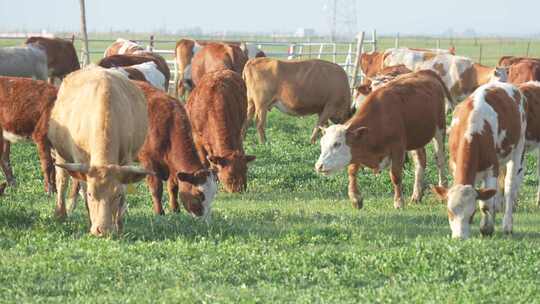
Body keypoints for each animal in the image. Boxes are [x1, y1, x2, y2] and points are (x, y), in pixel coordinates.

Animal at [48, 66, 151, 236]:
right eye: (91, 194)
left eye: (117, 195)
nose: (102, 230)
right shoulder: (80, 160)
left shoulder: (126, 161)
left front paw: (119, 227)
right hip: (61, 153)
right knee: (62, 180)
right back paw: (60, 213)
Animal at [314, 70, 450, 210]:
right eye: (322, 144)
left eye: (337, 144)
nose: (319, 166)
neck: (381, 117)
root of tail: (425, 72)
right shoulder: (358, 146)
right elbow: (352, 171)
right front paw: (355, 198)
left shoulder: (397, 149)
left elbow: (395, 176)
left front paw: (398, 201)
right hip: (416, 138)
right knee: (420, 161)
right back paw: (417, 195)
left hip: (440, 129)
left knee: (440, 160)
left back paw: (442, 188)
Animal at [432, 82, 524, 239]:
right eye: (449, 213)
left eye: (471, 215)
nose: (459, 238)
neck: (470, 132)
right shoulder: (454, 166)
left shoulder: (491, 168)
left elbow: (485, 204)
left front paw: (486, 228)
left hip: (518, 149)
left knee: (509, 188)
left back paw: (507, 225)